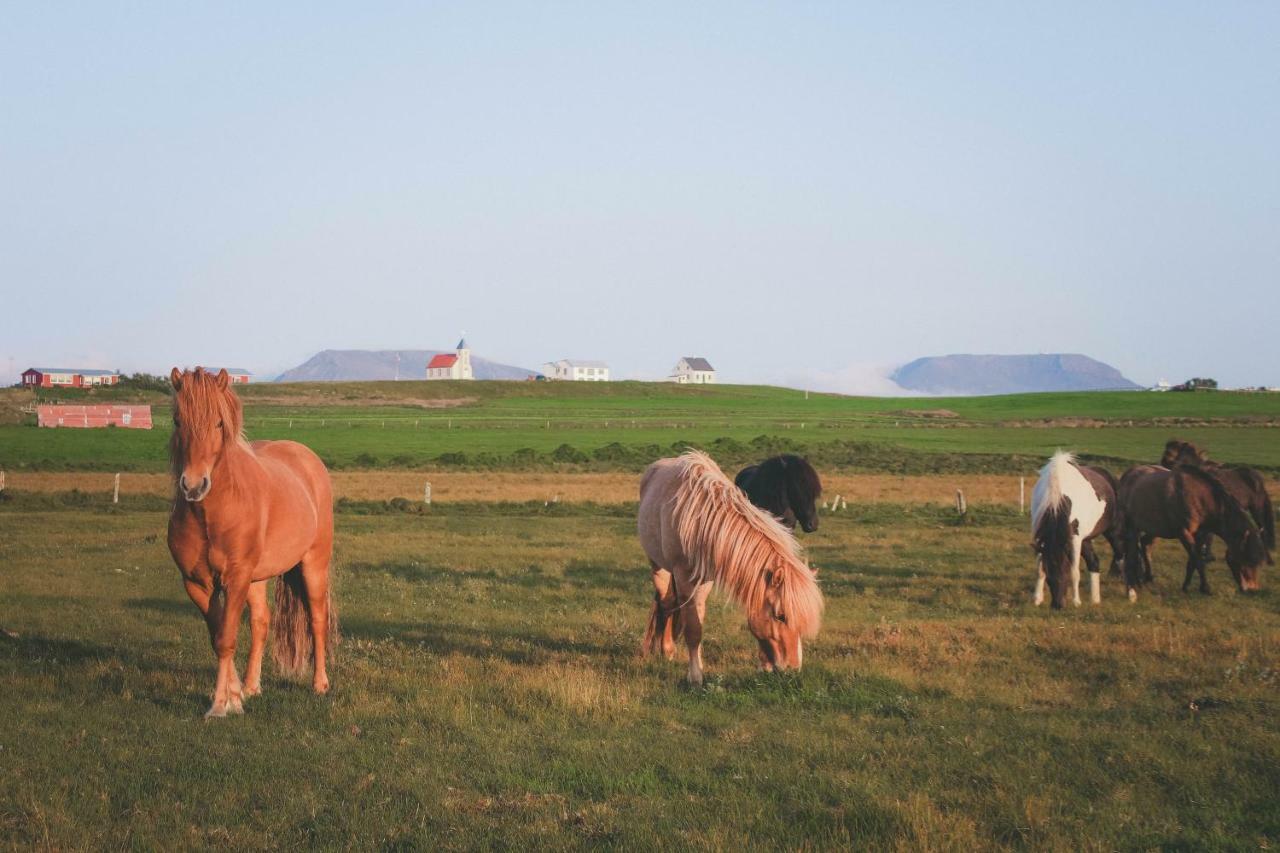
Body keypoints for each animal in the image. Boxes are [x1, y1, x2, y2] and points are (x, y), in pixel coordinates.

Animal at [167, 366, 337, 717]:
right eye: (177, 421)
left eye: (219, 422)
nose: (193, 485)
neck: (212, 515)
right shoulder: (196, 584)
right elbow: (218, 636)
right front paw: (234, 695)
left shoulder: (235, 578)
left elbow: (226, 638)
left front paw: (220, 705)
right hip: (257, 579)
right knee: (261, 623)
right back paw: (251, 686)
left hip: (313, 565)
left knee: (317, 620)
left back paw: (319, 684)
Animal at [634, 448, 824, 681]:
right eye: (781, 616)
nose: (793, 668)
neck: (701, 522)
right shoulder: (684, 577)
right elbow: (692, 629)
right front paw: (695, 677)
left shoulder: (704, 580)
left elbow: (698, 620)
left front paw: (699, 664)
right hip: (658, 566)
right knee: (665, 602)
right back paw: (663, 648)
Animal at [1029, 448, 1121, 607]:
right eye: (1049, 578)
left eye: (1065, 574)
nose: (1058, 605)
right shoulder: (1041, 538)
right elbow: (1040, 569)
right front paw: (1037, 598)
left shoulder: (1075, 540)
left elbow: (1075, 571)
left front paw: (1076, 601)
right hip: (1086, 539)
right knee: (1094, 562)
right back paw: (1095, 599)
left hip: (1113, 531)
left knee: (1121, 555)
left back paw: (1131, 593)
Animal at [1116, 458, 1264, 596]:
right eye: (1247, 558)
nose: (1252, 589)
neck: (1198, 497)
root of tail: (1128, 474)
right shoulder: (1184, 533)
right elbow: (1198, 560)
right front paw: (1205, 588)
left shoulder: (1200, 535)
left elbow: (1192, 562)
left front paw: (1186, 586)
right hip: (1133, 526)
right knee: (1132, 551)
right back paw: (1135, 581)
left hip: (1154, 529)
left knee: (1145, 545)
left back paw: (1148, 577)